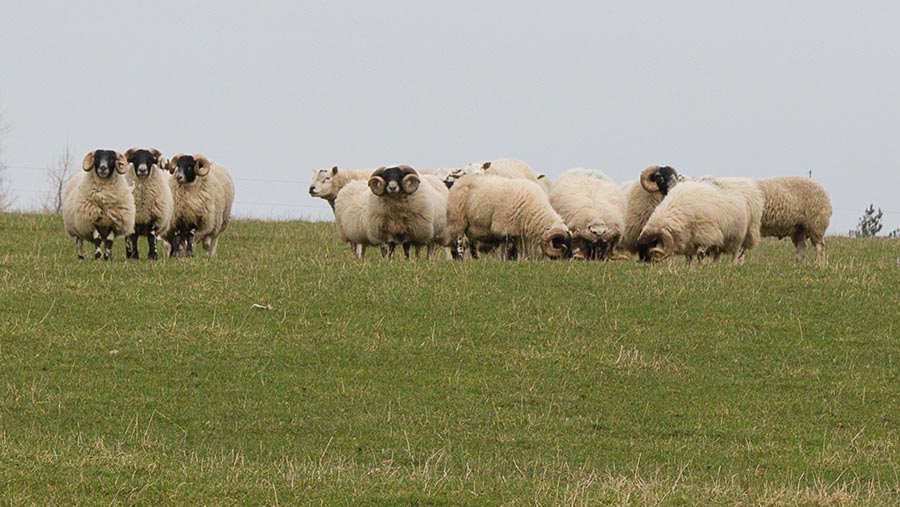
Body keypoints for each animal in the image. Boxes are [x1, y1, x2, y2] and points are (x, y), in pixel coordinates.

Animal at [636, 179, 764, 266]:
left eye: (652, 243)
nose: (646, 264)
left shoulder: (706, 234)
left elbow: (700, 254)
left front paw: (700, 267)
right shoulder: (689, 239)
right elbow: (688, 257)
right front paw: (689, 267)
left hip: (742, 234)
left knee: (737, 253)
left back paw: (732, 266)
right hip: (723, 239)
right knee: (718, 254)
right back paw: (715, 266)